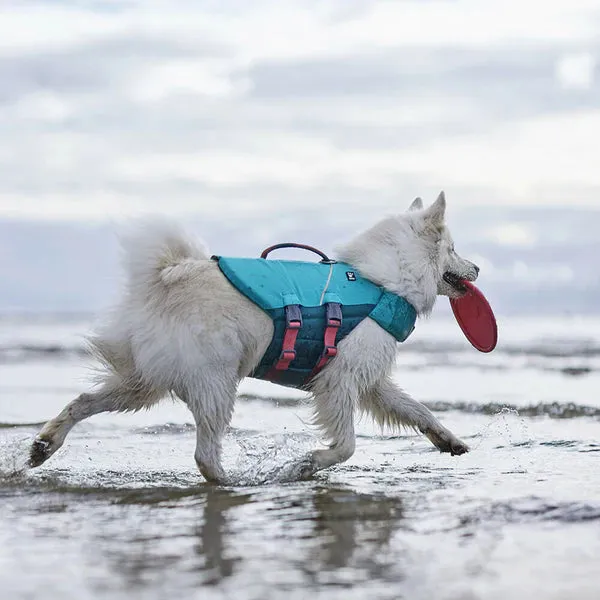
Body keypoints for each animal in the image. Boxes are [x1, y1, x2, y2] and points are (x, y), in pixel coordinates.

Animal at [29, 192, 478, 482]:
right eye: (454, 248)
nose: (477, 268)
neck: (381, 282)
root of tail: (164, 278)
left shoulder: (370, 382)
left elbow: (417, 410)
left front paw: (449, 440)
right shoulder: (339, 381)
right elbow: (347, 446)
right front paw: (307, 464)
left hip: (142, 384)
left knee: (83, 401)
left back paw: (44, 445)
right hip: (216, 382)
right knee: (204, 454)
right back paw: (232, 483)